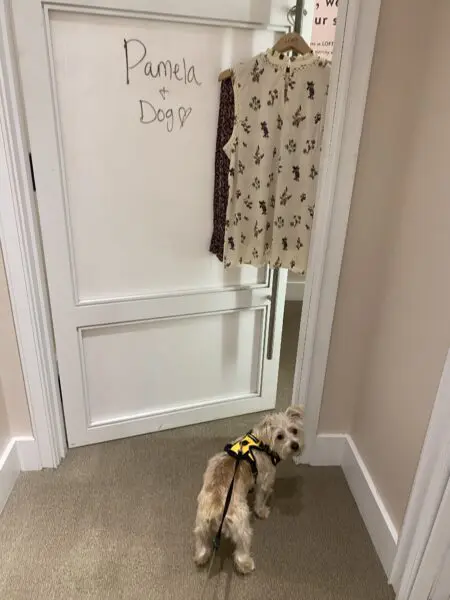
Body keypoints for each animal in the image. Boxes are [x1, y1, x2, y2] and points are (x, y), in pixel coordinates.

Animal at [192, 406, 302, 576]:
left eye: (294, 430)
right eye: (280, 436)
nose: (295, 445)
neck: (261, 443)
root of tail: (216, 508)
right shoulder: (264, 480)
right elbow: (260, 498)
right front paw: (262, 511)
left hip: (201, 526)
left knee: (202, 544)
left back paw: (201, 557)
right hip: (241, 526)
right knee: (241, 550)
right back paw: (246, 564)